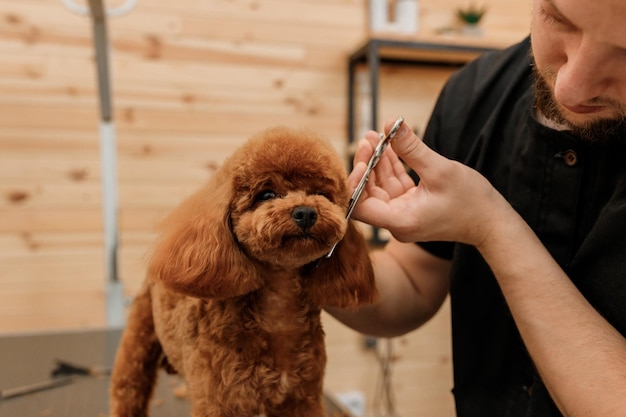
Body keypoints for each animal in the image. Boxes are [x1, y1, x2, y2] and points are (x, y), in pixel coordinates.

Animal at [108, 126, 376, 416]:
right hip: (137, 342)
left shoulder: (302, 398)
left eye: (322, 194)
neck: (278, 312)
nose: (305, 212)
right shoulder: (218, 402)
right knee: (128, 390)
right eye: (266, 194)